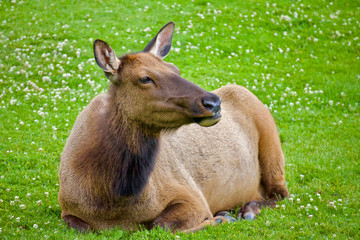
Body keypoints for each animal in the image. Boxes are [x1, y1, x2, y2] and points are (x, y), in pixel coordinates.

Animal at [59, 21, 290, 232]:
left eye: (175, 69)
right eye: (144, 78)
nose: (213, 102)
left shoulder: (191, 195)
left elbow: (160, 224)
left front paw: (220, 219)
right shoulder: (67, 210)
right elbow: (81, 227)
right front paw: (221, 217)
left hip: (272, 147)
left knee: (281, 193)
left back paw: (246, 210)